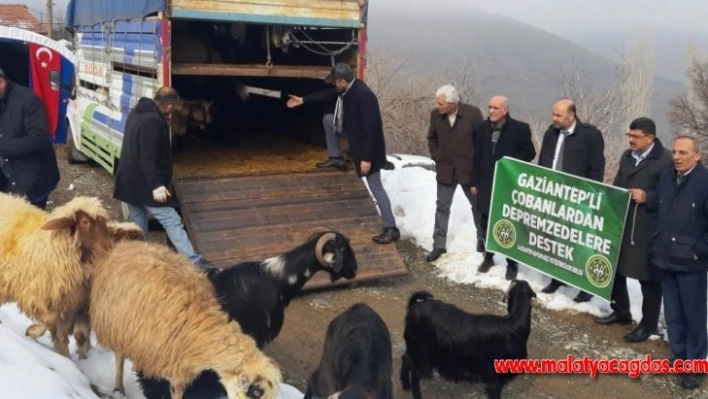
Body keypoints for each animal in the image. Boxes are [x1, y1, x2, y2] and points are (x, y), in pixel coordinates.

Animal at [0, 192, 112, 358]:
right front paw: (32, 331)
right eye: (85, 222)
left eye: (103, 221)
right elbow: (49, 320)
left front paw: (64, 357)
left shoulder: (68, 306)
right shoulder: (37, 296)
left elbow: (62, 337)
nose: (109, 246)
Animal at [90, 239, 284, 399]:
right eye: (257, 392)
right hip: (115, 324)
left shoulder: (180, 366)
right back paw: (118, 387)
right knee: (119, 356)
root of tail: (127, 244)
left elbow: (179, 390)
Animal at [402, 280, 532, 399]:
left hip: (416, 349)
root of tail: (414, 306)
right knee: (414, 372)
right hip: (423, 355)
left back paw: (405, 385)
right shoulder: (496, 378)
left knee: (406, 359)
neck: (514, 324)